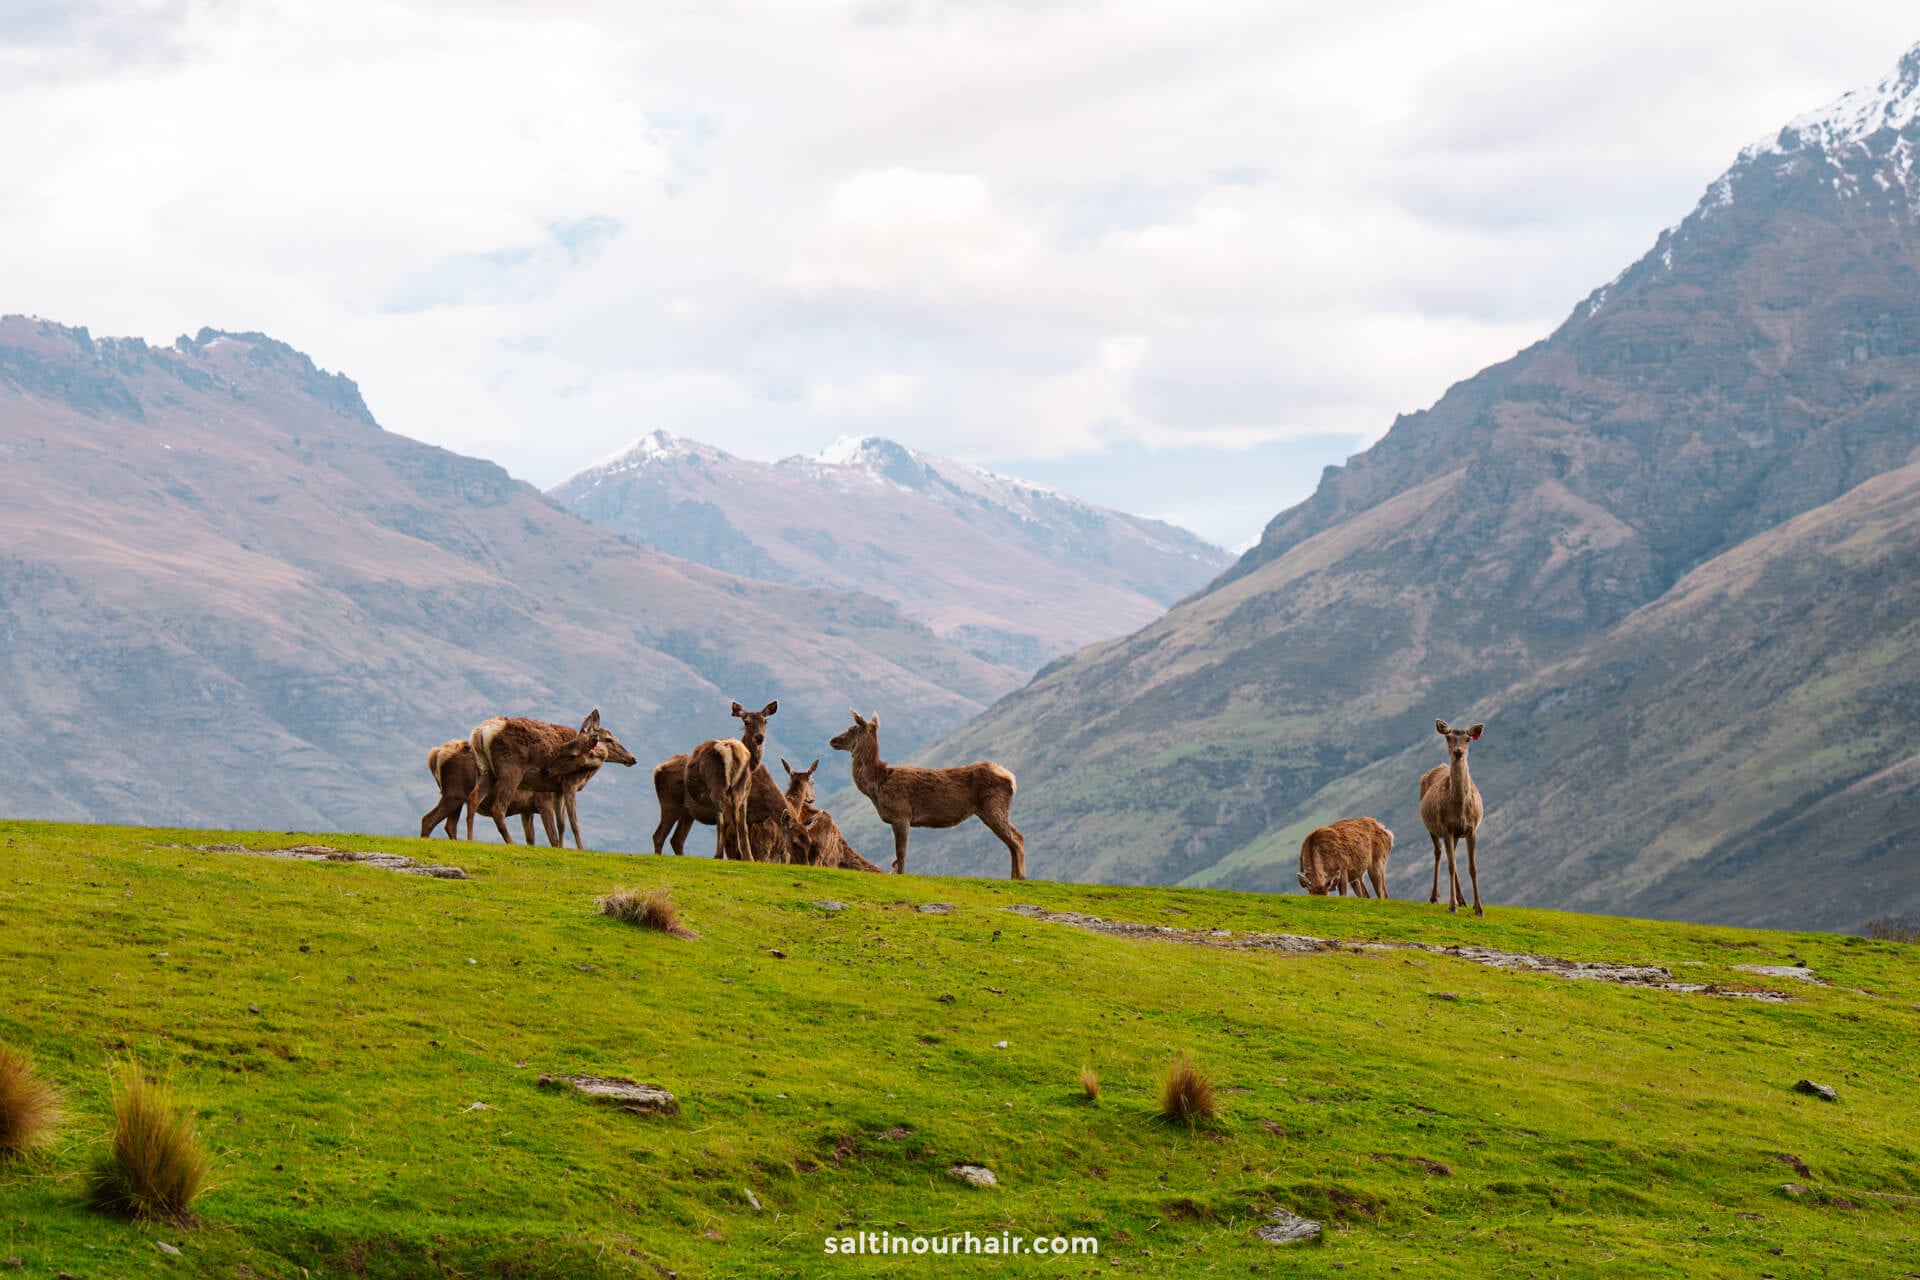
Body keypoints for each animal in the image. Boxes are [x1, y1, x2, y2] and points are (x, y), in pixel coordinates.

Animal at [470, 709, 637, 847]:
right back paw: (511, 843)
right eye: (609, 739)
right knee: (498, 808)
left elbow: (561, 825)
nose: (632, 758)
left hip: (487, 771)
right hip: (511, 772)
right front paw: (580, 849)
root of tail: (481, 732)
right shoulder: (569, 784)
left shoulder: (557, 789)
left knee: (473, 799)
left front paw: (561, 848)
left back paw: (469, 839)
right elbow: (573, 823)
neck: (587, 774)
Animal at [829, 709, 1025, 880]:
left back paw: (1020, 877)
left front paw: (902, 875)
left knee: (1015, 841)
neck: (877, 785)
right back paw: (1014, 877)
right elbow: (897, 855)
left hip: (994, 805)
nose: (832, 740)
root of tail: (1011, 778)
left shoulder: (902, 814)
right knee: (1017, 837)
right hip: (988, 810)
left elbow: (901, 852)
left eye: (851, 729)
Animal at [1419, 719, 1486, 915]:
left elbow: (1473, 867)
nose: (1458, 752)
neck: (1460, 808)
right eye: (1448, 737)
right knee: (1439, 853)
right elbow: (1450, 866)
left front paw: (1479, 908)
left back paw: (1463, 900)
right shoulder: (1446, 828)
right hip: (1432, 828)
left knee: (1453, 857)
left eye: (1468, 738)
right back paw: (1435, 897)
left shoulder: (1472, 829)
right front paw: (1451, 906)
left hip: (1456, 834)